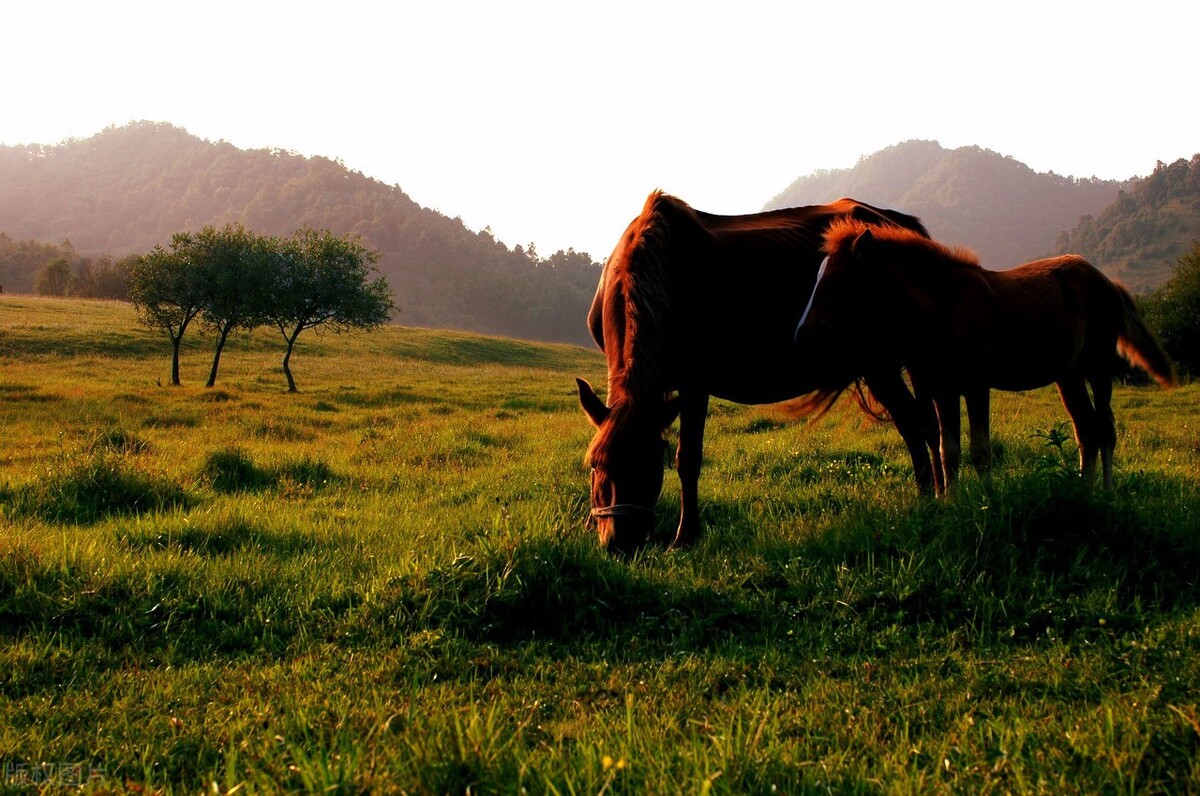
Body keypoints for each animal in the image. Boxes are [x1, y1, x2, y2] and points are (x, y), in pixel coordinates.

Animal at [578, 192, 936, 554]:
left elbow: (688, 459)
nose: (620, 542)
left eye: (650, 464)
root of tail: (902, 225)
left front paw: (686, 535)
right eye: (595, 464)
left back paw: (927, 498)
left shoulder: (695, 384)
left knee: (913, 422)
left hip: (881, 362)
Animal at [792, 219, 1176, 492]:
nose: (802, 334)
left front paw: (988, 505)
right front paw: (951, 505)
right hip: (1068, 375)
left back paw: (1106, 495)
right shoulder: (941, 390)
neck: (943, 308)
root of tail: (1109, 283)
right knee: (1086, 429)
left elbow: (980, 451)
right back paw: (1083, 491)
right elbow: (947, 451)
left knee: (1105, 429)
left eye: (838, 281)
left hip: (1098, 366)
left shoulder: (976, 386)